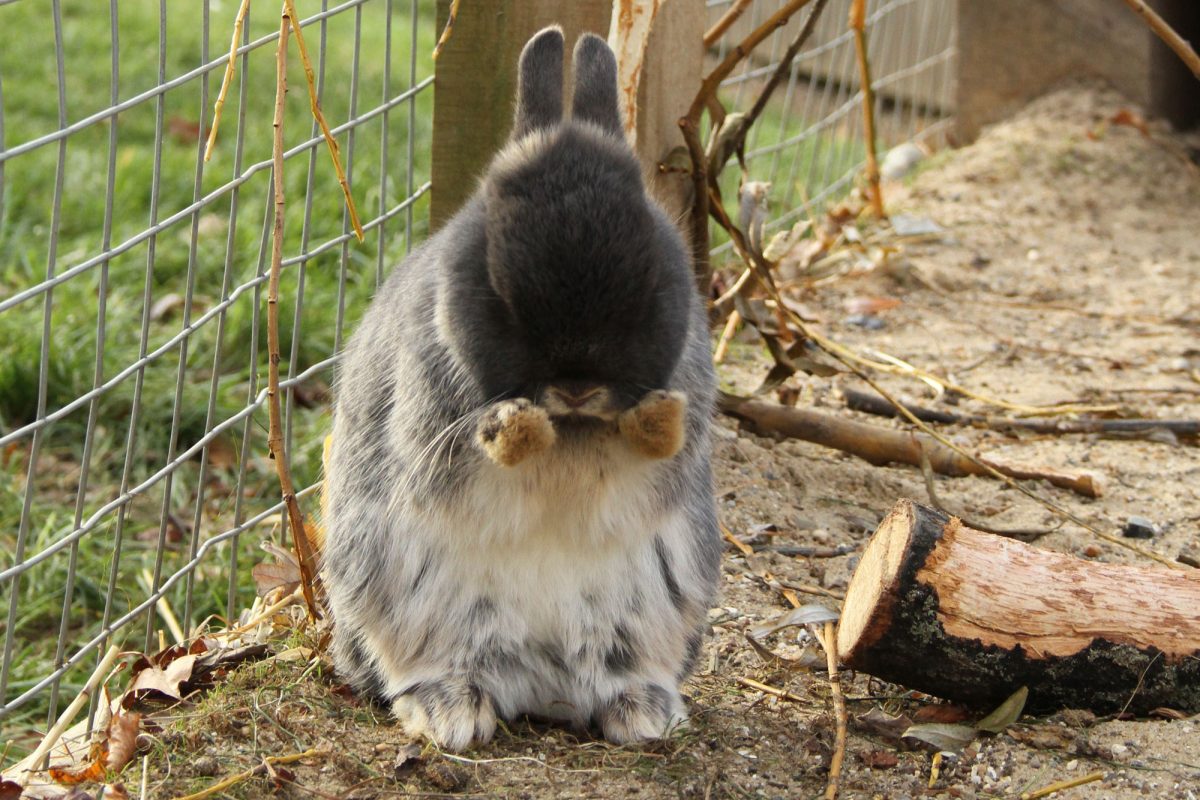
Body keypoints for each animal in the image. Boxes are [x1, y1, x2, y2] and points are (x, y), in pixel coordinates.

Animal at [321, 25, 720, 753]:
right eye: (497, 282)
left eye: (652, 271)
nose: (578, 386)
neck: (576, 426)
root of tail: (543, 694)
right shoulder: (434, 425)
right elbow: (483, 442)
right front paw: (520, 428)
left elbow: (661, 444)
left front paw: (656, 421)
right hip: (401, 596)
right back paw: (451, 712)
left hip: (654, 608)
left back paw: (642, 715)